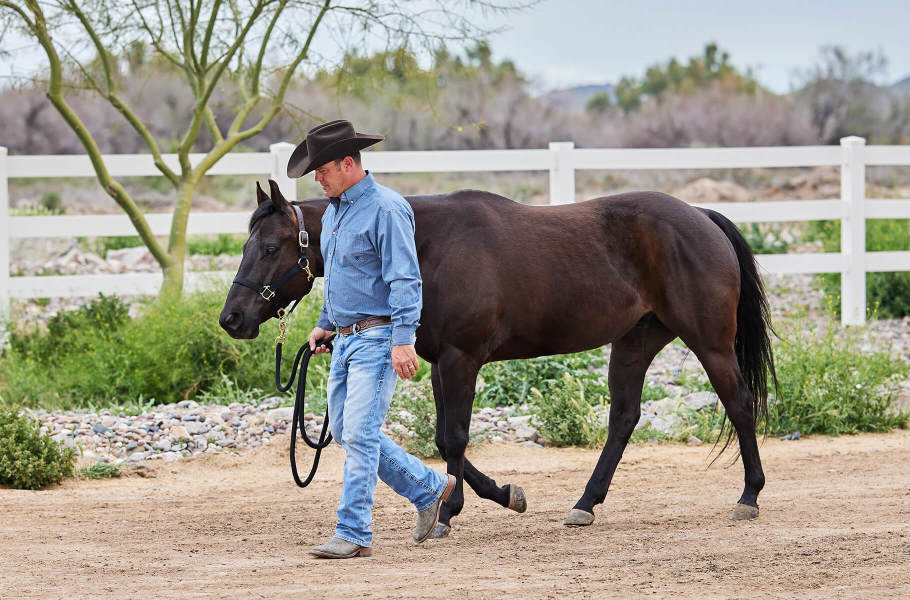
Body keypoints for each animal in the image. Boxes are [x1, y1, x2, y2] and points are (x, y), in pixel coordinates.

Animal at [219, 179, 776, 540]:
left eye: (270, 247)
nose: (233, 317)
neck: (427, 246)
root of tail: (701, 216)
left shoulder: (461, 359)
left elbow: (454, 438)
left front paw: (449, 512)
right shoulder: (439, 363)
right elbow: (444, 438)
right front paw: (503, 494)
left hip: (709, 341)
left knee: (739, 404)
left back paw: (749, 498)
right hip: (634, 343)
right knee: (623, 419)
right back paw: (584, 505)